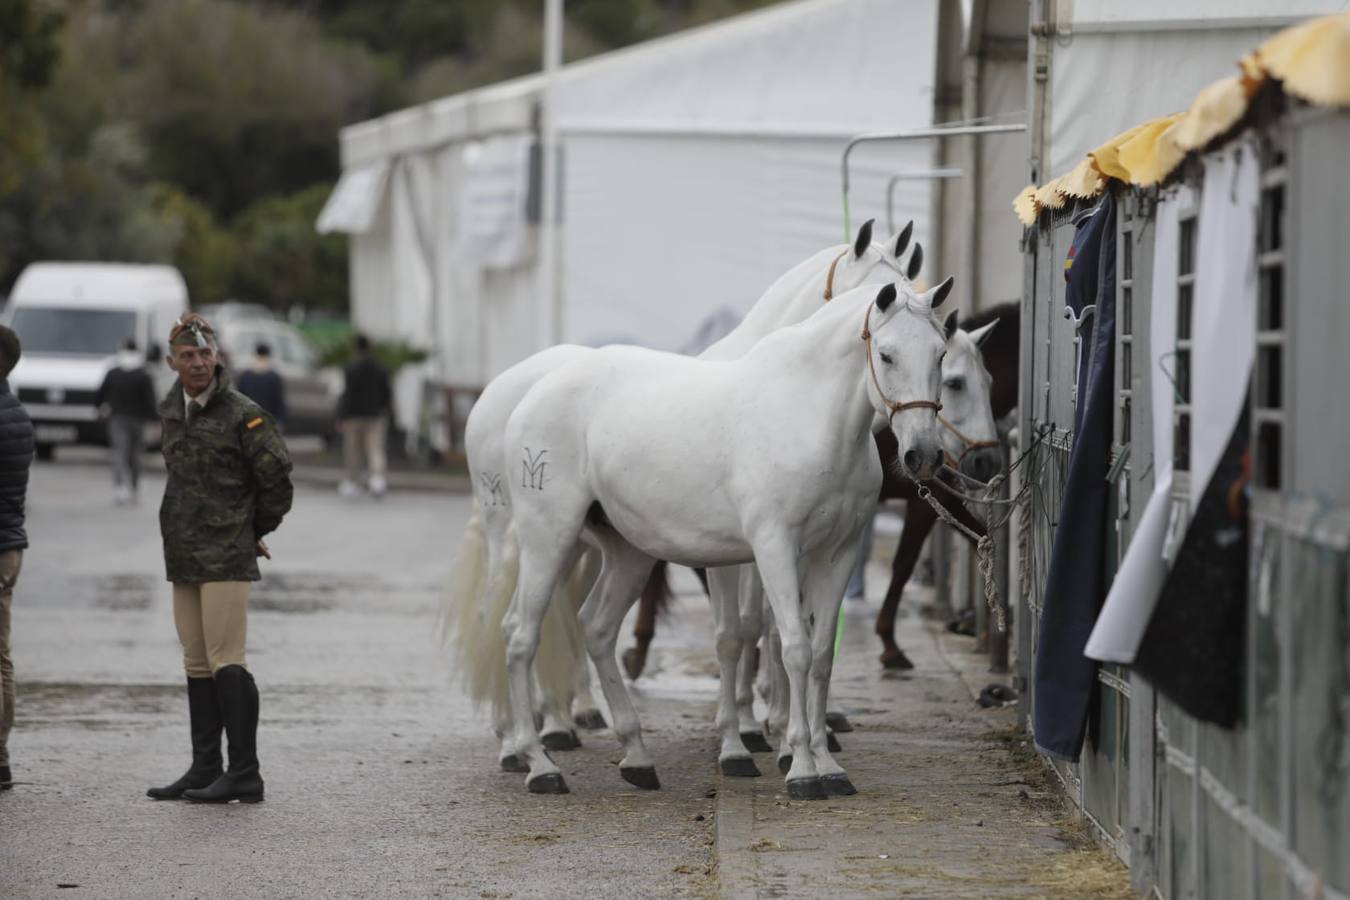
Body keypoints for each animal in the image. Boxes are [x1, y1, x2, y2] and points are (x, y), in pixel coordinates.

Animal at [447, 220, 919, 772]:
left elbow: (772, 627)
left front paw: (779, 730)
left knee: (571, 620)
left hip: (585, 545)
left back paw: (572, 723)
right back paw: (521, 740)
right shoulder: (739, 555)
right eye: (877, 289)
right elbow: (740, 631)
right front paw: (748, 737)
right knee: (507, 621)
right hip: (522, 539)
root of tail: (503, 391)